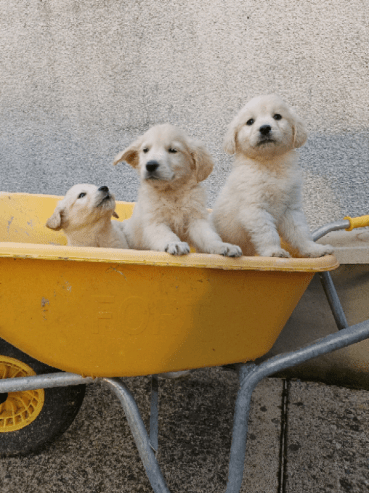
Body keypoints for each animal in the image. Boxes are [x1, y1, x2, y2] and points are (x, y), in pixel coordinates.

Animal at [113, 124, 243, 258]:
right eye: (145, 150)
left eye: (173, 150)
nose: (150, 165)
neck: (172, 192)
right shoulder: (154, 222)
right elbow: (166, 235)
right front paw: (175, 244)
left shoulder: (196, 219)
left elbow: (209, 237)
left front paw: (224, 246)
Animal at [211, 94, 332, 260]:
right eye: (250, 121)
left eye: (277, 116)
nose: (264, 128)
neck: (270, 164)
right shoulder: (255, 209)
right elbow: (267, 233)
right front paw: (274, 252)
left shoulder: (291, 208)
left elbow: (301, 233)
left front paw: (314, 249)